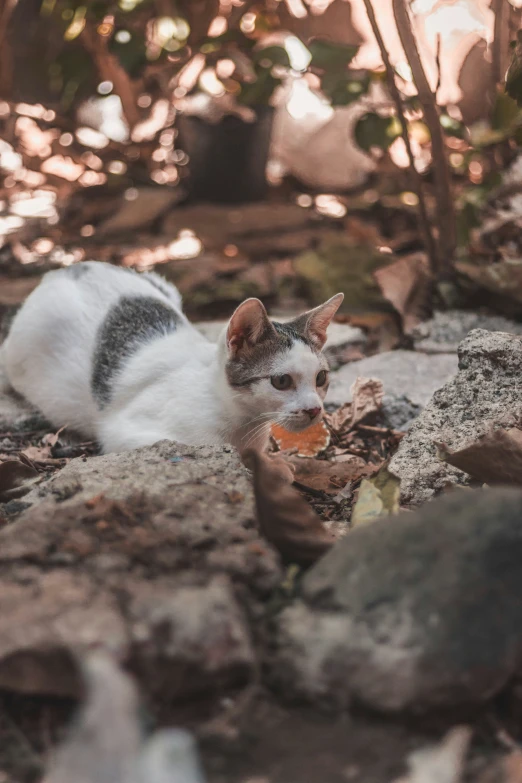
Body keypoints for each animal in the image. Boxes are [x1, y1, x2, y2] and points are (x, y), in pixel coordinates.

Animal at [2, 260, 344, 456]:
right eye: (281, 381)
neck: (242, 425)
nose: (314, 409)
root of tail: (64, 269)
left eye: (321, 378)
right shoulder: (125, 435)